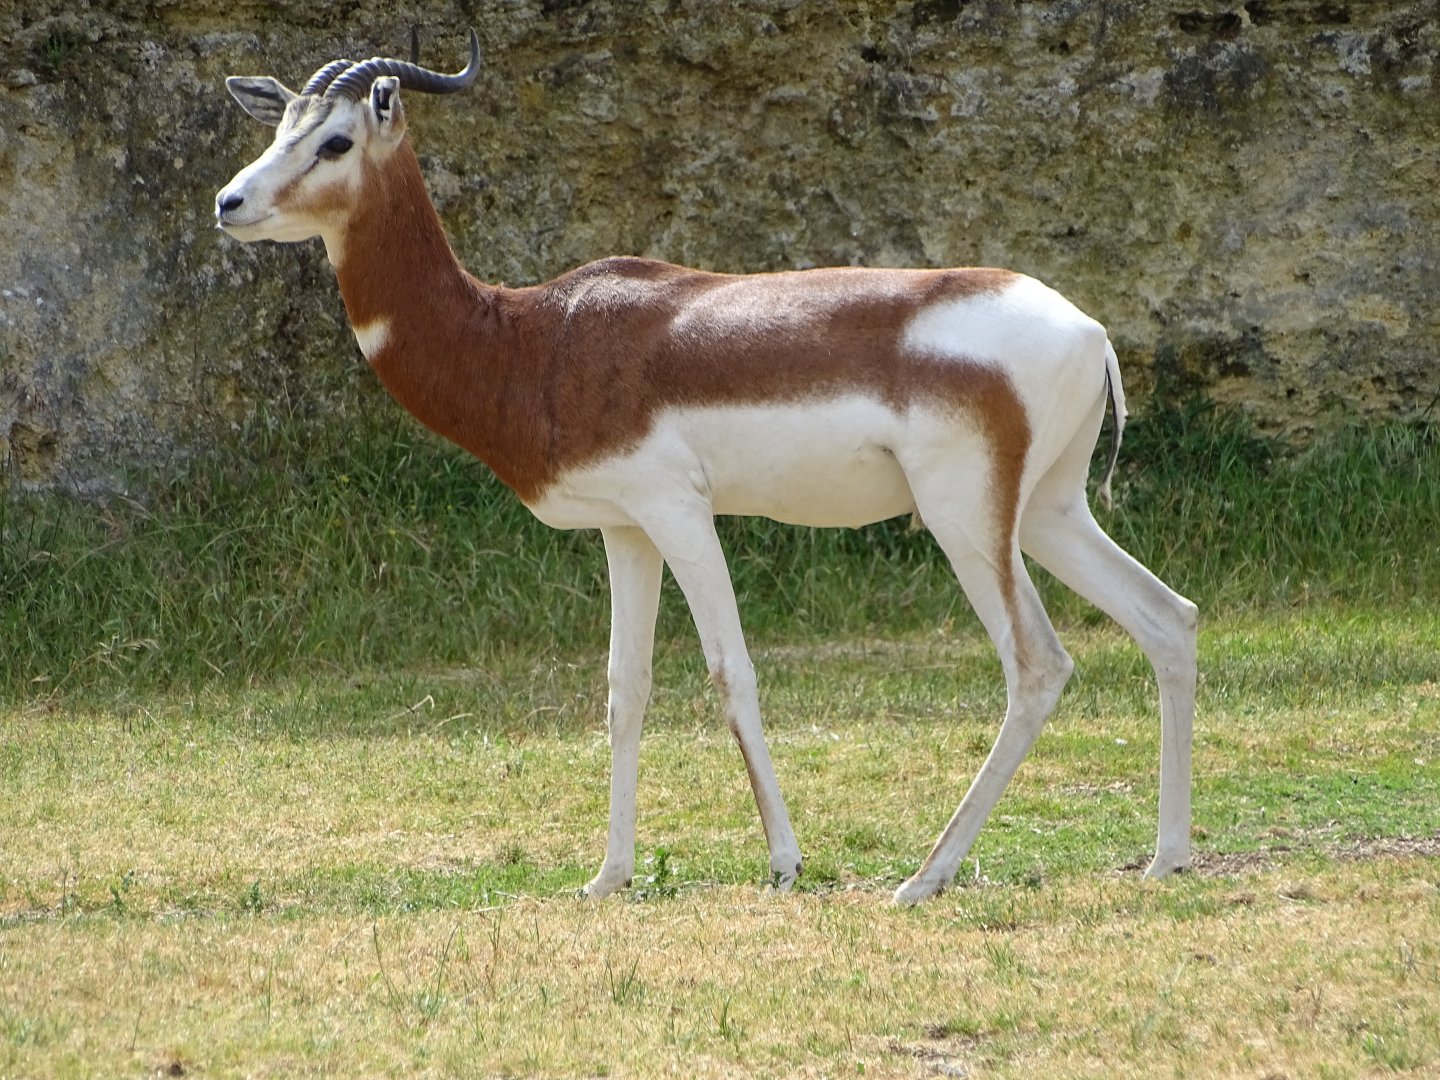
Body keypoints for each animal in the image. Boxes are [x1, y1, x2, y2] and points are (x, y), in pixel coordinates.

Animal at [215, 31, 1198, 904]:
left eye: (335, 139)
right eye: (281, 126)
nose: (228, 202)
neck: (535, 338)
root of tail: (1090, 330)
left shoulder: (679, 510)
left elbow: (732, 671)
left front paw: (786, 863)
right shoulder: (624, 530)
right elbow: (625, 688)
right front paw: (609, 875)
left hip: (966, 519)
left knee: (1037, 663)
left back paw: (926, 877)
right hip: (1049, 512)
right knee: (1168, 617)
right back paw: (1166, 857)